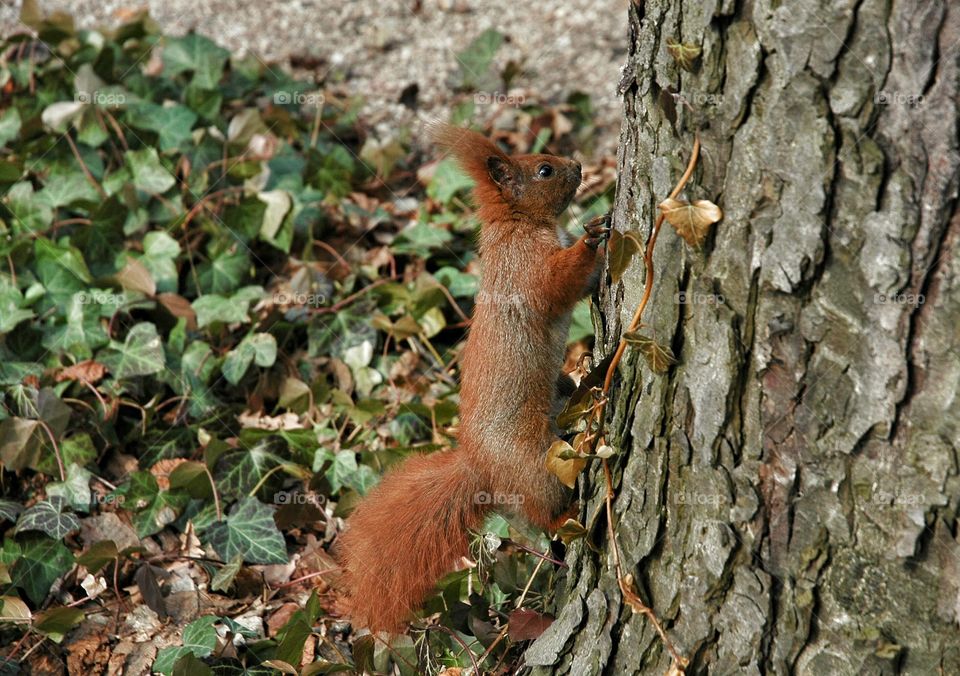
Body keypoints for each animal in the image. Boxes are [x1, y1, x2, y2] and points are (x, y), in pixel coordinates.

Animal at [336, 123, 608, 632]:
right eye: (544, 170)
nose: (579, 165)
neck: (517, 225)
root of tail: (481, 468)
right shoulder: (526, 270)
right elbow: (557, 284)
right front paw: (593, 236)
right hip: (535, 466)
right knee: (545, 512)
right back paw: (570, 514)